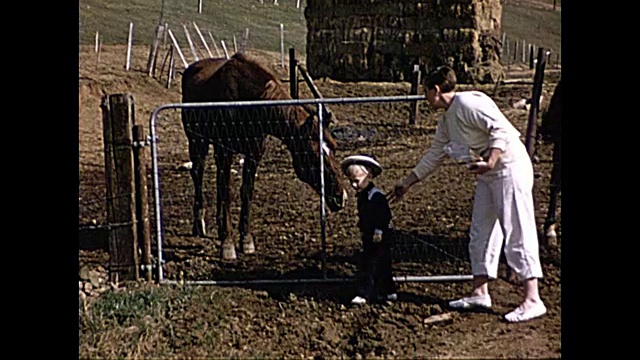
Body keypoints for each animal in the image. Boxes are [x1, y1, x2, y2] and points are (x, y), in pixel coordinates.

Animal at [182, 52, 348, 258]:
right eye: (312, 154)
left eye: (334, 147)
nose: (341, 197)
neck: (250, 104)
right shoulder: (225, 151)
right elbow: (228, 191)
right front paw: (228, 244)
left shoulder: (254, 153)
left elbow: (246, 191)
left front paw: (245, 239)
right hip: (197, 141)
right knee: (198, 173)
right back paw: (199, 224)